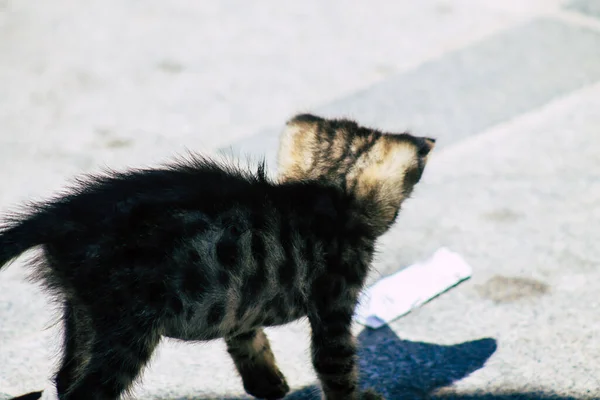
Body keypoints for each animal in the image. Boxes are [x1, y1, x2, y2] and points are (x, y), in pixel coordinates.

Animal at [0, 113, 436, 400]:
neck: (326, 191)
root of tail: (63, 215)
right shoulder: (332, 308)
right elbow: (337, 369)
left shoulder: (240, 296)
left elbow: (246, 339)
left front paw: (266, 384)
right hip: (129, 328)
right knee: (87, 392)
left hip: (83, 313)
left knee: (65, 376)